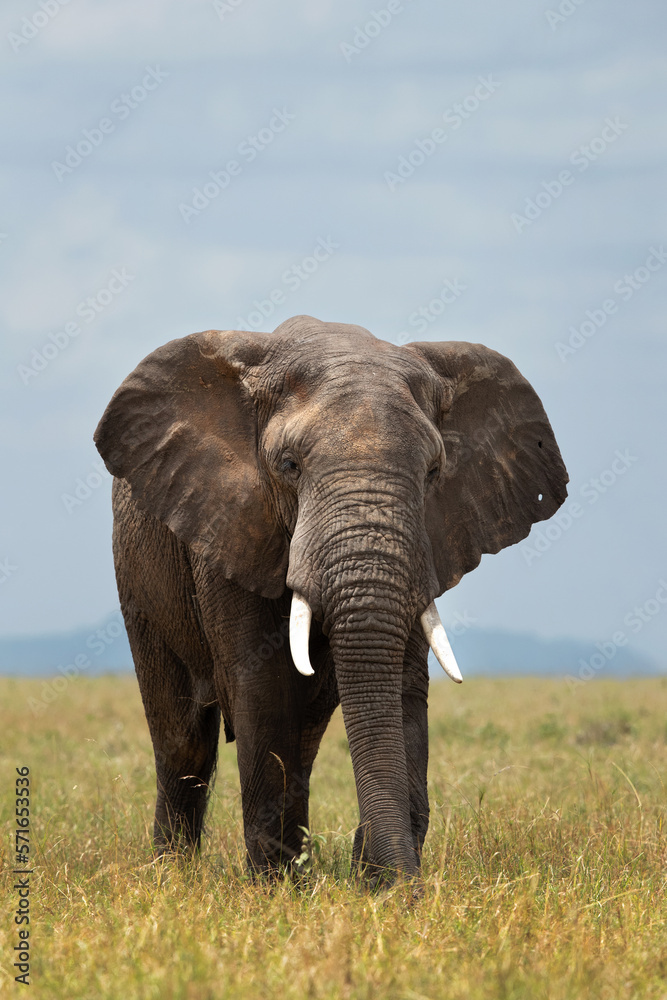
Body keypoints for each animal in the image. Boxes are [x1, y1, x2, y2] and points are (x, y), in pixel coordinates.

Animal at [94, 314, 568, 884]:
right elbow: (264, 686)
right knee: (183, 742)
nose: (395, 884)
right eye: (289, 465)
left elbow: (401, 684)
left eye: (433, 473)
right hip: (138, 575)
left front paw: (375, 879)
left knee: (300, 743)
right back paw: (174, 878)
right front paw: (277, 892)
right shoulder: (232, 522)